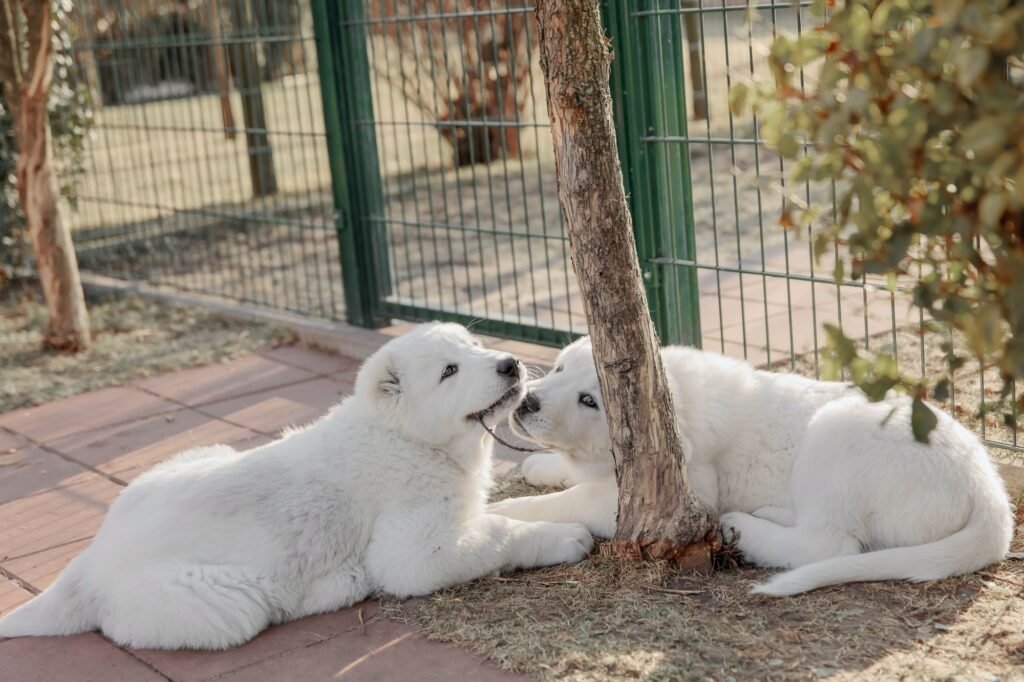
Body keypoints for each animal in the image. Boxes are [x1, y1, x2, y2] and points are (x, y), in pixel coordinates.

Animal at [0, 323, 593, 647]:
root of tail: (86, 565)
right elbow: (499, 536)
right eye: (449, 371)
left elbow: (500, 520)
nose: (510, 362)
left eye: (472, 345)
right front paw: (566, 538)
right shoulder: (415, 552)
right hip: (225, 606)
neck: (403, 437)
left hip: (202, 452)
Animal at [489, 337, 1015, 593]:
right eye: (560, 368)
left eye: (589, 401)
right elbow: (572, 475)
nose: (529, 402)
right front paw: (539, 468)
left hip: (835, 433)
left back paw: (742, 527)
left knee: (829, 545)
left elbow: (567, 501)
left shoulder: (651, 499)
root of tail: (990, 489)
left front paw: (501, 514)